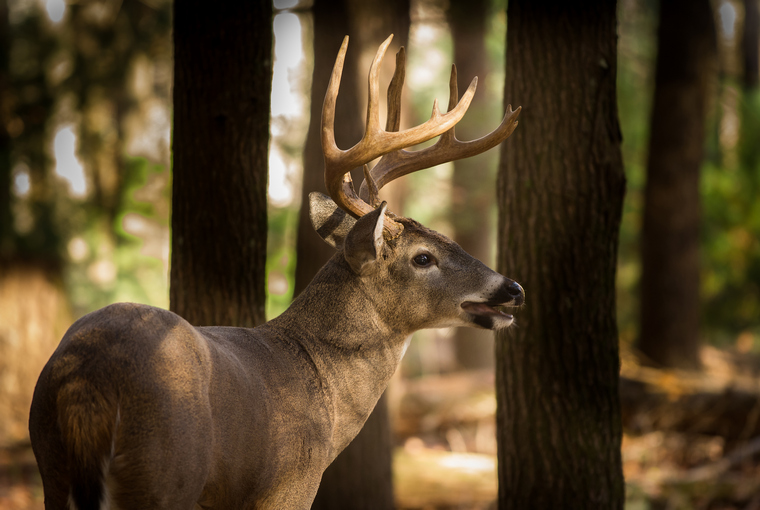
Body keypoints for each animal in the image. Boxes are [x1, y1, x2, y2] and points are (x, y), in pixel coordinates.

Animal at [28, 33, 524, 508]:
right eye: (423, 257)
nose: (514, 288)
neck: (320, 383)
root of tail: (87, 376)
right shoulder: (291, 484)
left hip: (50, 463)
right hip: (164, 470)